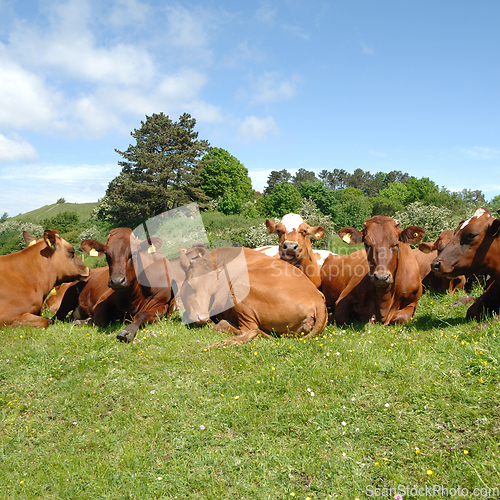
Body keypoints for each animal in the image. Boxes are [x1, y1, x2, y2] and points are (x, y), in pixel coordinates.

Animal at [176, 246, 328, 344]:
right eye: (190, 286)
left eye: (213, 291)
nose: (202, 318)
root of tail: (317, 299)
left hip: (239, 289)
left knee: (249, 330)